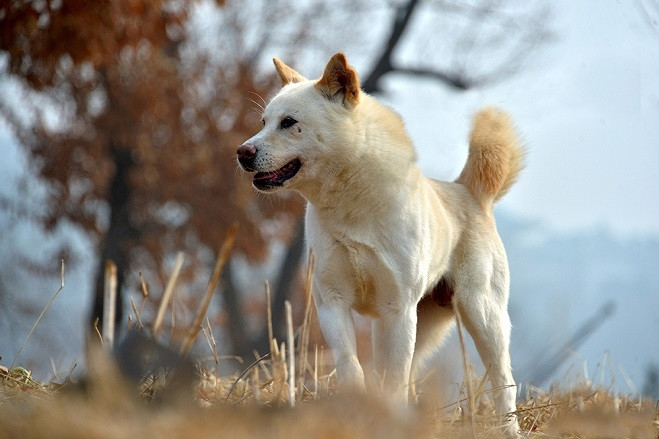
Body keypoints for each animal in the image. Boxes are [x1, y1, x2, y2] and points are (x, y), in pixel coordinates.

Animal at [238, 53, 524, 434]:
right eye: (263, 122)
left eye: (289, 122)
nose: (242, 152)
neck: (350, 206)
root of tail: (470, 192)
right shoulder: (332, 303)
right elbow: (351, 367)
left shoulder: (397, 309)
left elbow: (393, 378)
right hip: (419, 326)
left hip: (481, 314)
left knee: (503, 380)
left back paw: (509, 429)